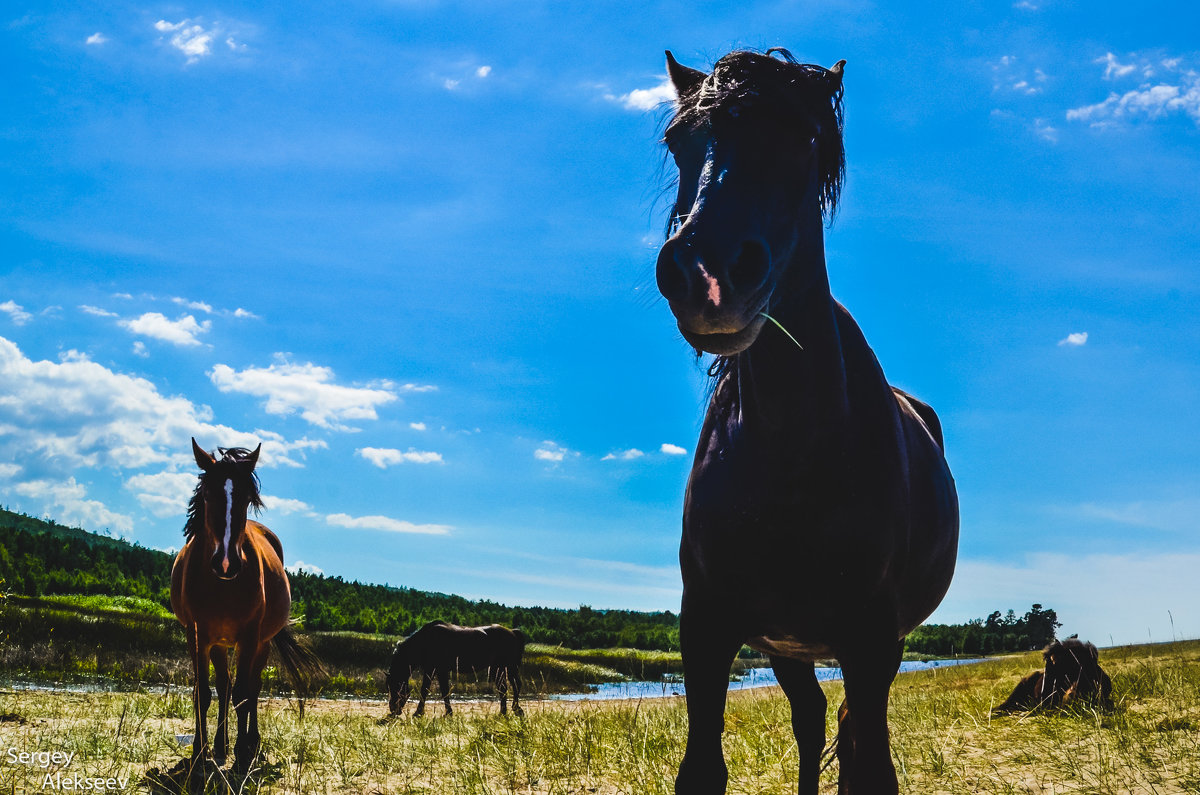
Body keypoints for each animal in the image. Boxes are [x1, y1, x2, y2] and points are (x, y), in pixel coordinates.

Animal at [171, 439, 324, 773]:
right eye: (207, 494)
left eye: (246, 498)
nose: (226, 562)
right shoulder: (197, 634)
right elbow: (204, 691)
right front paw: (200, 752)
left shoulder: (250, 635)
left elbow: (243, 694)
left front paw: (242, 754)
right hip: (218, 641)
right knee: (225, 685)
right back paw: (219, 745)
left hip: (261, 643)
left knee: (251, 688)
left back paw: (251, 743)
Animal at [386, 624, 528, 720]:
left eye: (395, 686)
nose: (393, 710)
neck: (426, 640)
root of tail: (513, 632)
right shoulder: (439, 671)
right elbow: (444, 691)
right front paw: (448, 712)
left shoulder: (434, 670)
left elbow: (426, 690)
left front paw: (418, 713)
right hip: (499, 669)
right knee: (505, 688)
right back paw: (505, 711)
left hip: (506, 667)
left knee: (513, 686)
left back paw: (514, 709)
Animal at [652, 46, 960, 792]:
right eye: (679, 141)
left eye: (803, 141)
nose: (706, 275)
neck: (792, 450)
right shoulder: (707, 624)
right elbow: (702, 767)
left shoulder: (872, 637)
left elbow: (870, 767)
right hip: (787, 644)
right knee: (814, 719)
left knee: (844, 727)